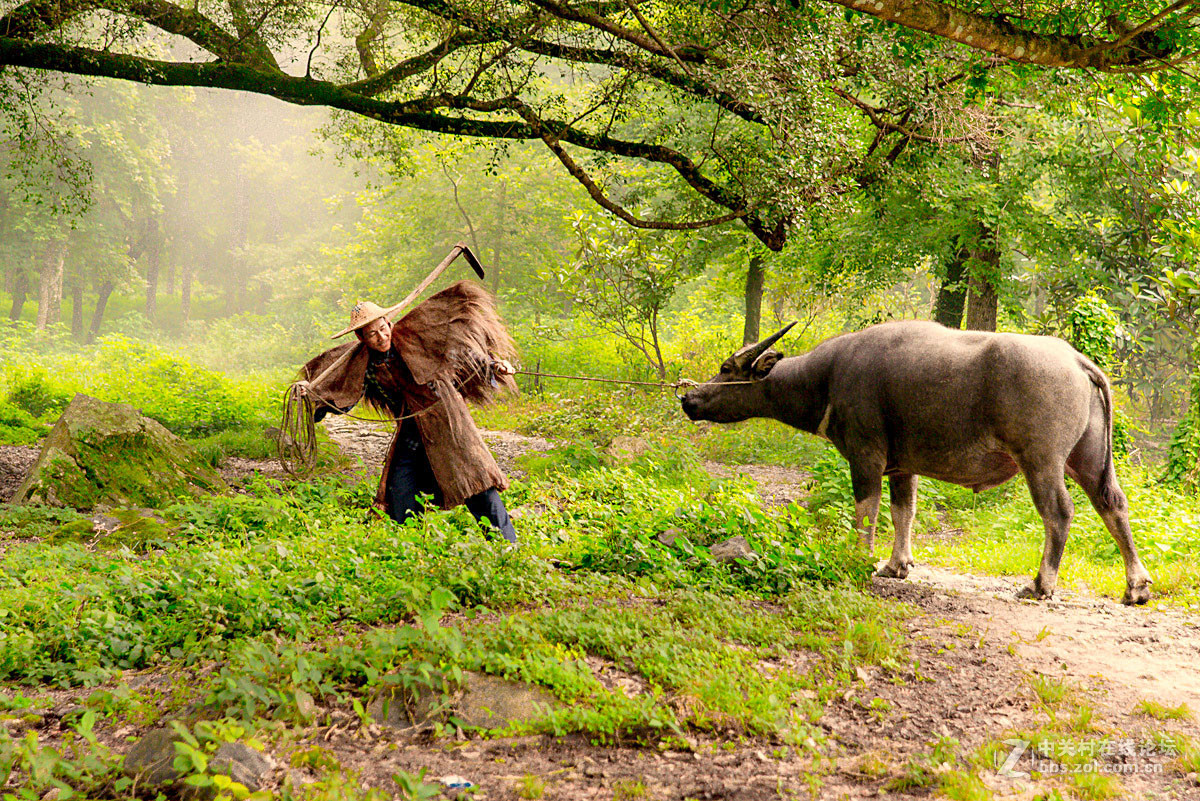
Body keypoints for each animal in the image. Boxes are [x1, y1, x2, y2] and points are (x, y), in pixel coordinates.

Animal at [681, 321, 1147, 604]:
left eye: (727, 368)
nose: (689, 398)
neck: (827, 378)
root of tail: (1077, 361)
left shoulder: (866, 455)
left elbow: (866, 510)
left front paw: (858, 559)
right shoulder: (902, 465)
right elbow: (903, 509)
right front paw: (896, 565)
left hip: (1041, 460)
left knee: (1059, 512)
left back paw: (1040, 584)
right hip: (1087, 457)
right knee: (1112, 504)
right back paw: (1136, 586)